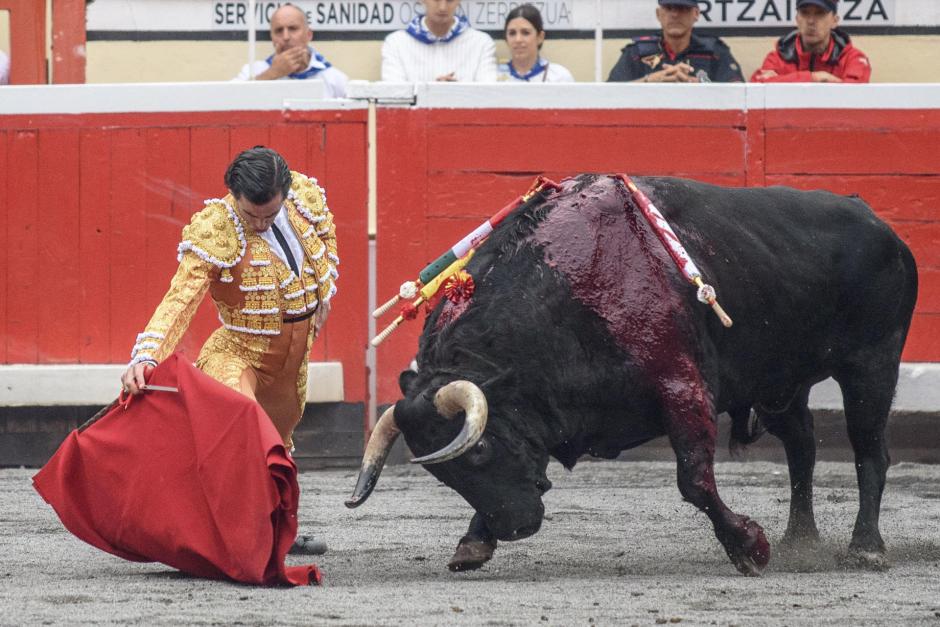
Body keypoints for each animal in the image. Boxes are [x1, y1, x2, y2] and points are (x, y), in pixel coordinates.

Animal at [346, 174, 916, 576]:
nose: (515, 528)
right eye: (444, 475)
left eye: (481, 450)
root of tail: (871, 216)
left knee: (870, 450)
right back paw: (801, 540)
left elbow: (694, 480)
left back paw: (866, 548)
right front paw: (471, 543)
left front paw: (749, 548)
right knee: (802, 448)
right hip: (781, 383)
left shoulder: (682, 387)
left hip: (872, 365)